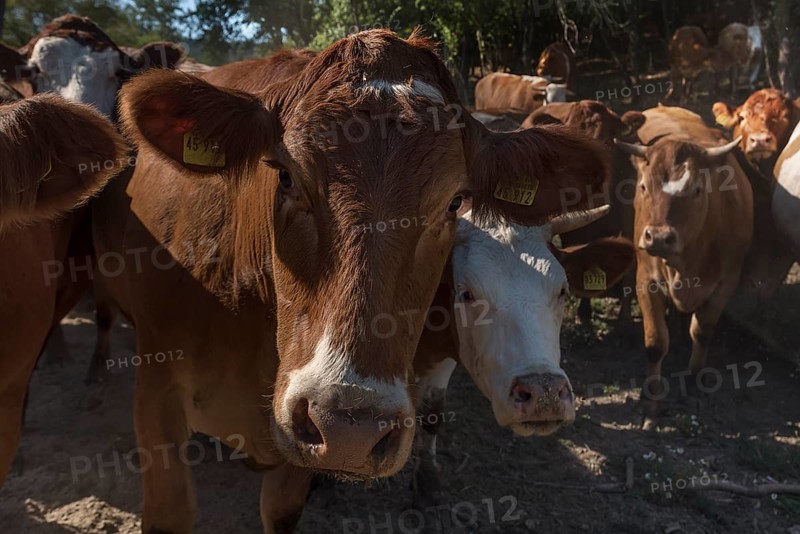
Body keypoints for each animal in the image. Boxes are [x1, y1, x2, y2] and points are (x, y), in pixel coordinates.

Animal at [615, 105, 752, 420]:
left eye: (697, 190)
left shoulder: (726, 283)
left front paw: (694, 382)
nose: (658, 237)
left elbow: (702, 332)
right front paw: (651, 399)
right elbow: (655, 342)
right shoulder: (647, 281)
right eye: (643, 186)